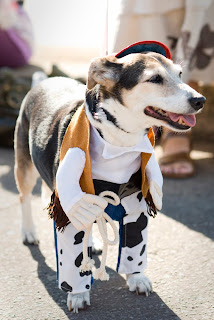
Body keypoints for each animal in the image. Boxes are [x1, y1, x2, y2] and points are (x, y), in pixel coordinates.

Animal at [13, 42, 206, 312]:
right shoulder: (70, 208)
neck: (119, 140)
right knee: (23, 198)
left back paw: (92, 242)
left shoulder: (136, 206)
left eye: (179, 74)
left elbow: (135, 248)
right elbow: (73, 263)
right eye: (155, 79)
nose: (200, 100)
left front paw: (137, 278)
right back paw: (29, 233)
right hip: (26, 168)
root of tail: (43, 81)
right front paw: (78, 295)